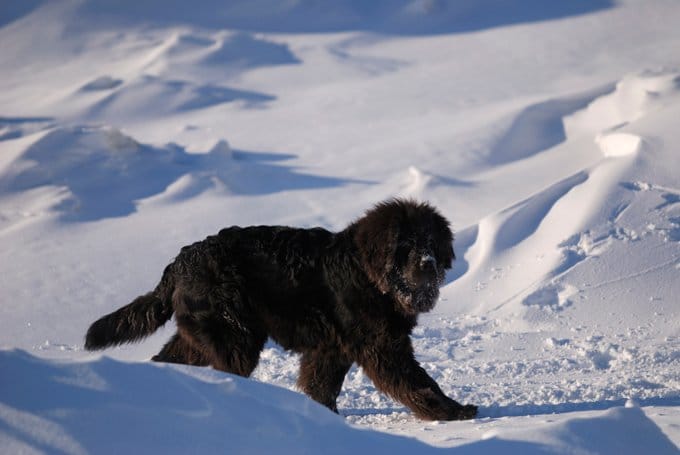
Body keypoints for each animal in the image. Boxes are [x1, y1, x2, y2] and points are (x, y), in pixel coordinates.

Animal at [85, 201, 478, 422]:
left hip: (201, 334)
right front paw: (453, 411)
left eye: (431, 243)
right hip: (234, 336)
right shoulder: (383, 347)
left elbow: (321, 387)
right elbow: (419, 382)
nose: (428, 264)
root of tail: (179, 262)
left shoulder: (330, 349)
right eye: (405, 246)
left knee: (170, 359)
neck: (371, 276)